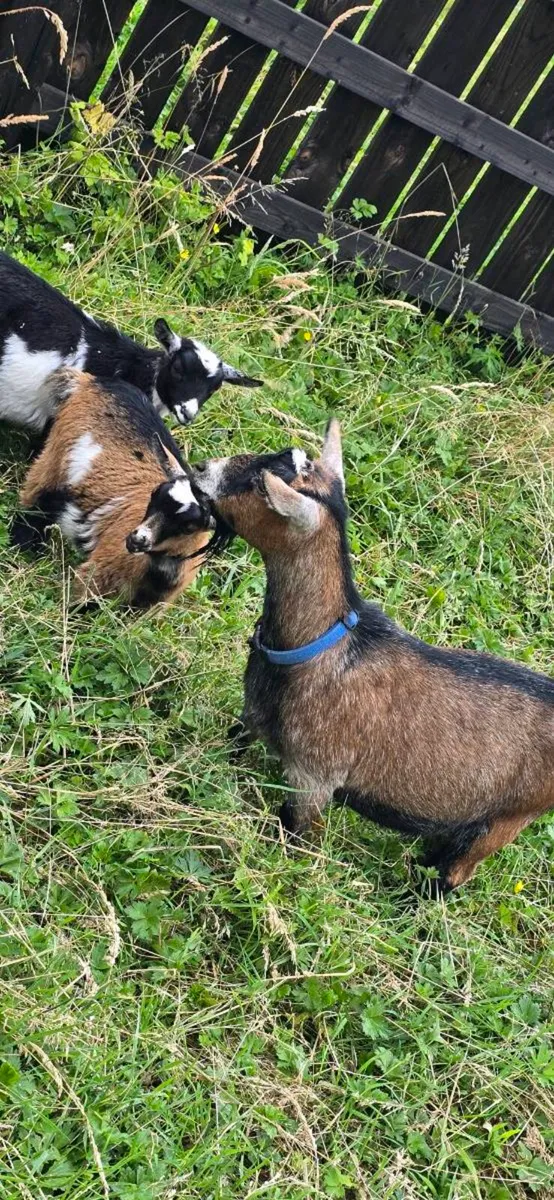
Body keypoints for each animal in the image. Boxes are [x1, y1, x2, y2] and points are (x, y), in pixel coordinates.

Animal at [13, 368, 212, 607]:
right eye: (154, 495)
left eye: (189, 526)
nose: (135, 539)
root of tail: (90, 381)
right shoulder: (98, 574)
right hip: (56, 456)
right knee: (36, 497)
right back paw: (24, 547)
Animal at [191, 421, 554, 892]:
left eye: (261, 485)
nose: (201, 468)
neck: (318, 646)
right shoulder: (252, 718)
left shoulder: (314, 777)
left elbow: (297, 834)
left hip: (510, 817)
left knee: (455, 873)